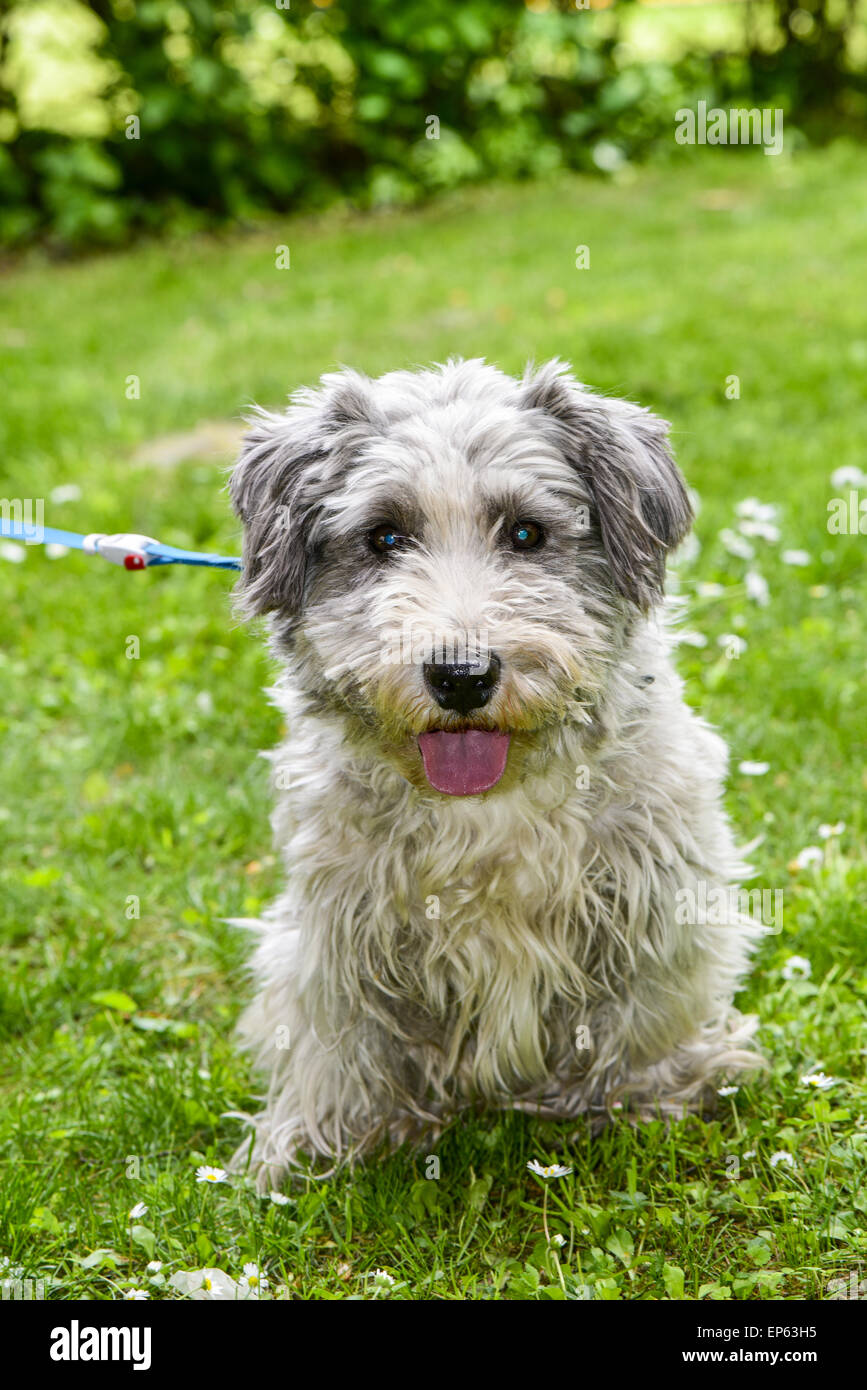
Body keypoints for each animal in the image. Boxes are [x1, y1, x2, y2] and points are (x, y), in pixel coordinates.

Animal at [226, 358, 761, 1184]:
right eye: (384, 537)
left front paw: (646, 1094)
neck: (484, 806)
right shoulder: (339, 920)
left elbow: (641, 1008)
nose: (461, 676)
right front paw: (331, 1135)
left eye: (525, 532)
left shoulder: (652, 894)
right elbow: (343, 1031)